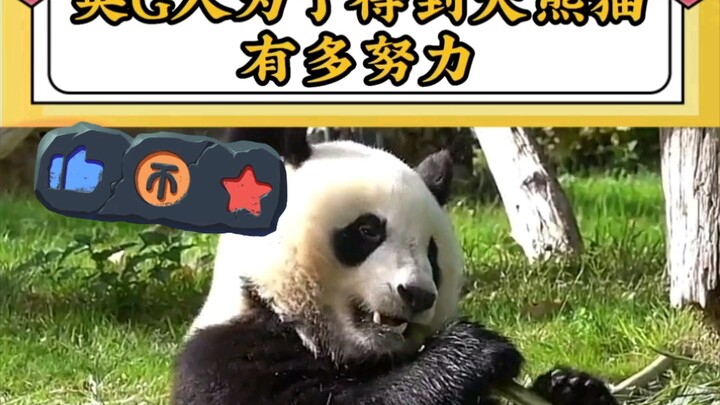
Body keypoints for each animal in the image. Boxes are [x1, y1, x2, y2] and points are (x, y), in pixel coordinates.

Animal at [171, 132, 619, 405]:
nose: (417, 294)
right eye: (368, 230)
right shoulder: (231, 359)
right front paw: (474, 351)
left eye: (432, 254)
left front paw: (572, 387)